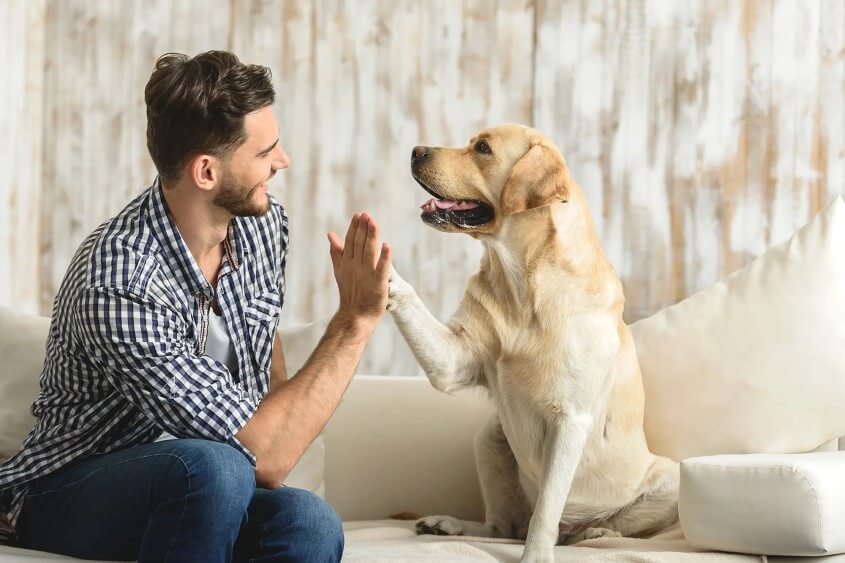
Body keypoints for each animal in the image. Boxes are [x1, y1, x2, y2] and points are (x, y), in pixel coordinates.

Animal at [388, 124, 680, 563]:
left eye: (483, 148)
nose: (415, 150)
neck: (522, 285)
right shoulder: (453, 360)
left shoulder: (570, 421)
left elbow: (545, 512)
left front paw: (537, 556)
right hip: (489, 438)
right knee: (502, 526)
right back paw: (447, 524)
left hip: (670, 481)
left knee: (581, 527)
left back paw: (593, 531)